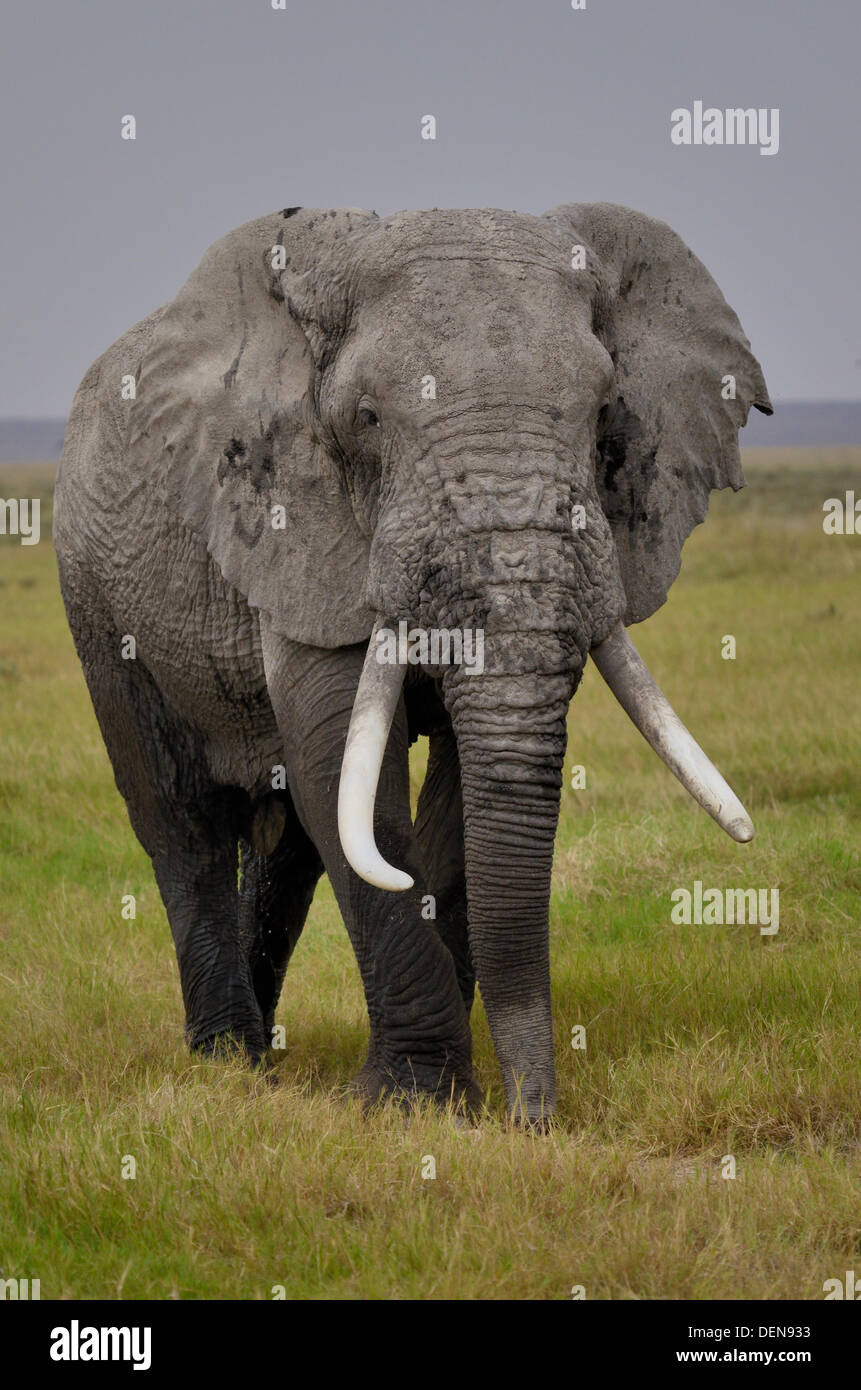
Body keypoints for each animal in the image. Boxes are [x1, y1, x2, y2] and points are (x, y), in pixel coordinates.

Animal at [54, 203, 770, 1125]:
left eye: (606, 411)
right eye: (366, 418)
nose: (534, 1123)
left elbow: (456, 793)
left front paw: (448, 1103)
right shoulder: (300, 528)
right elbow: (345, 771)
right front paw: (413, 1105)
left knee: (288, 844)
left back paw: (265, 1056)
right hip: (96, 598)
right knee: (181, 820)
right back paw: (228, 1064)